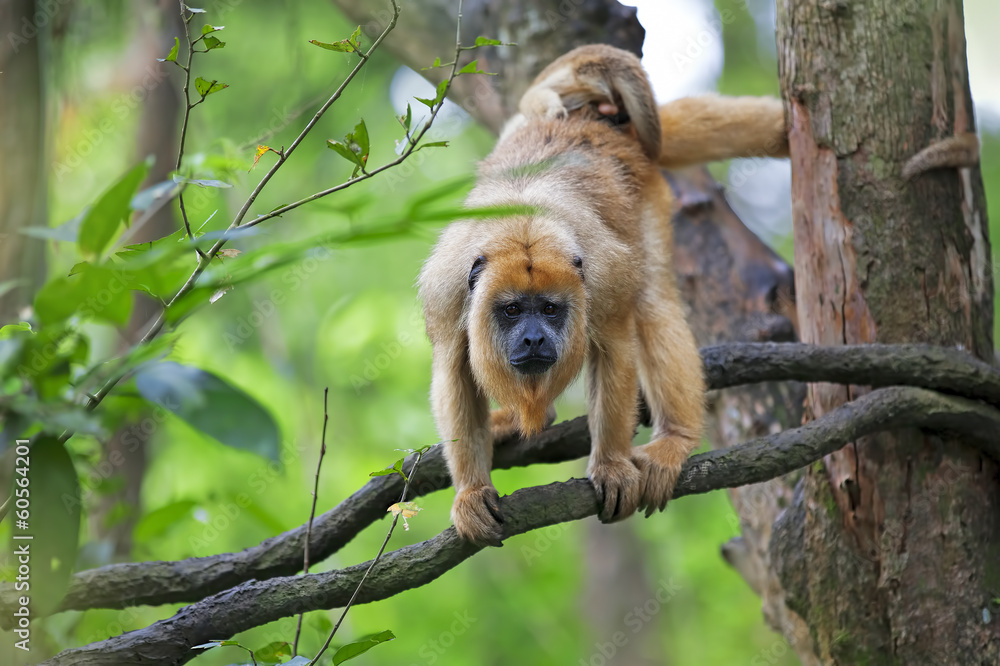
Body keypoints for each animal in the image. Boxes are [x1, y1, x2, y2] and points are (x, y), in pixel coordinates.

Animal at [419, 44, 788, 547]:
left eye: (550, 310)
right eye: (511, 310)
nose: (534, 338)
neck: (522, 230)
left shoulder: (604, 275)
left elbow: (615, 347)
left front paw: (611, 466)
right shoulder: (445, 289)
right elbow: (453, 371)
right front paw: (472, 492)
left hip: (646, 194)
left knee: (652, 302)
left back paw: (675, 439)